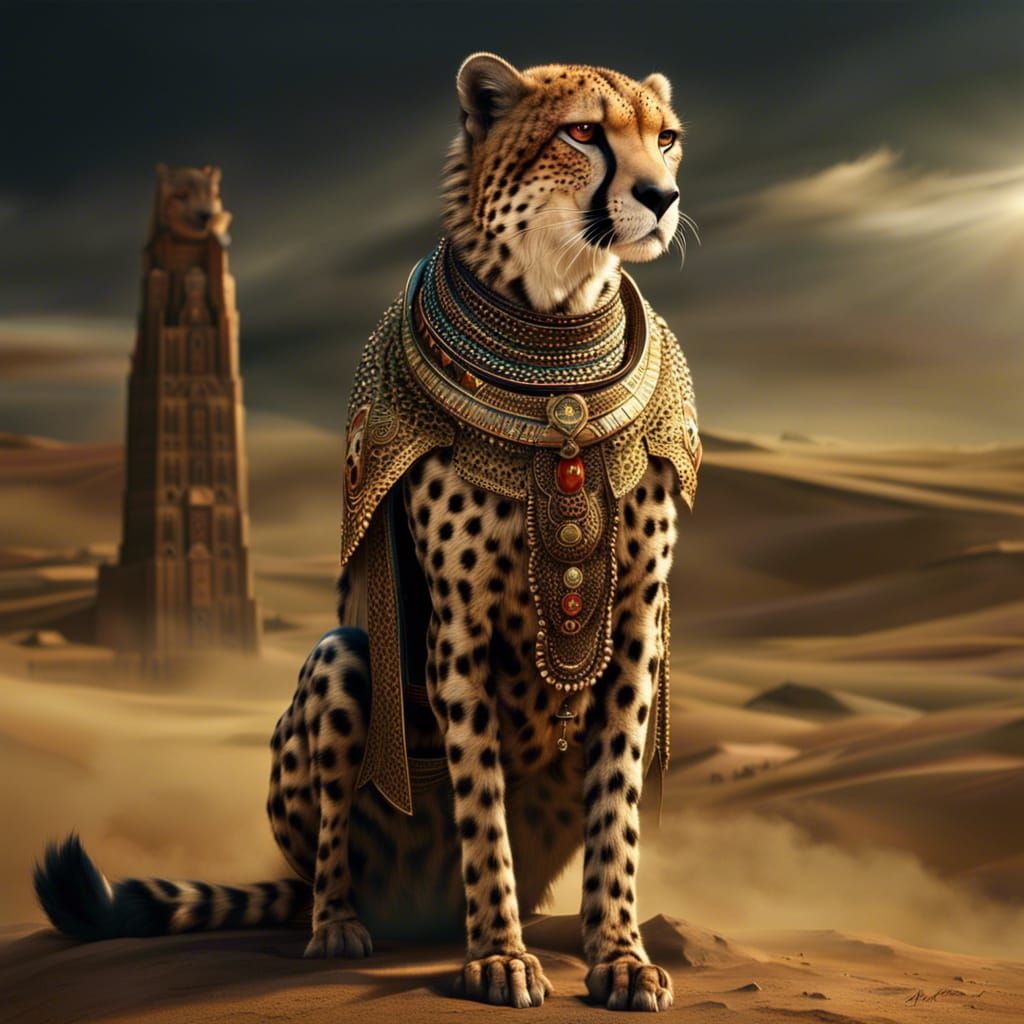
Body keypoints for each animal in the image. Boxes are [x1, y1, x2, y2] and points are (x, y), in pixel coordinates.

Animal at [35, 53, 697, 1013]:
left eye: (667, 137)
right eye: (582, 133)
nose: (662, 195)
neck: (556, 324)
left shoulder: (637, 629)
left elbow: (617, 818)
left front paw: (620, 955)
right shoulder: (459, 632)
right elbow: (483, 813)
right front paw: (499, 956)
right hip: (342, 664)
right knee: (329, 853)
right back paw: (343, 925)